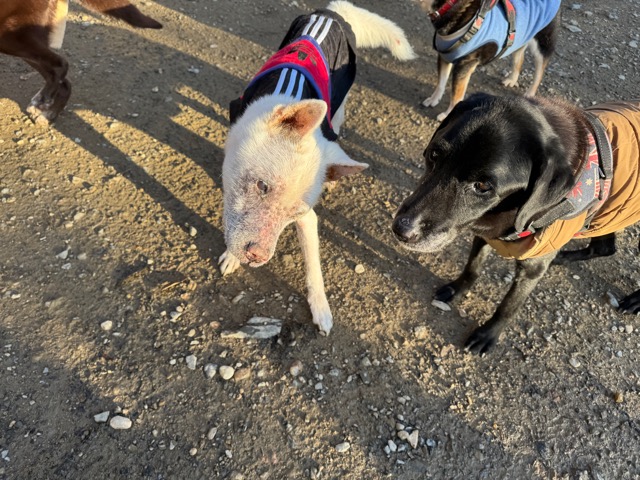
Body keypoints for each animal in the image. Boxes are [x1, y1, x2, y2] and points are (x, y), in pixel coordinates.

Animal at [219, 1, 416, 335]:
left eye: (294, 214)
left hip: (342, 95)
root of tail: (337, 10)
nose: (257, 258)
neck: (288, 94)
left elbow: (314, 266)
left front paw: (320, 308)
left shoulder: (308, 218)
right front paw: (232, 256)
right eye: (262, 186)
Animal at [392, 93, 640, 353]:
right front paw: (456, 288)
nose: (401, 229)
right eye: (434, 155)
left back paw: (635, 300)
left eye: (482, 186)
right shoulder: (484, 236)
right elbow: (472, 268)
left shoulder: (531, 270)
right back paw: (563, 257)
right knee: (605, 247)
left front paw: (487, 335)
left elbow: (508, 306)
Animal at [421, 0, 560, 121]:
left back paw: (530, 94)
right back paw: (512, 80)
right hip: (520, 38)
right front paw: (434, 99)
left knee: (539, 73)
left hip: (542, 45)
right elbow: (441, 83)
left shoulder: (464, 65)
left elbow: (456, 96)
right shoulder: (444, 56)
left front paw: (447, 115)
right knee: (519, 60)